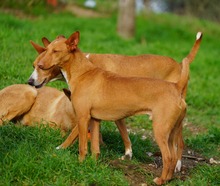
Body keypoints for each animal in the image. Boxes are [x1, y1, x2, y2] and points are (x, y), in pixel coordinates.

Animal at [27, 30, 192, 185]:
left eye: (55, 51)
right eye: (47, 49)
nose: (30, 81)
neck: (83, 72)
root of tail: (176, 86)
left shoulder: (83, 118)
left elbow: (81, 146)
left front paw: (79, 163)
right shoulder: (94, 120)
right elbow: (94, 148)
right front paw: (92, 164)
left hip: (160, 130)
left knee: (168, 156)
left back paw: (160, 180)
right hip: (171, 132)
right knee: (173, 155)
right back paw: (168, 178)